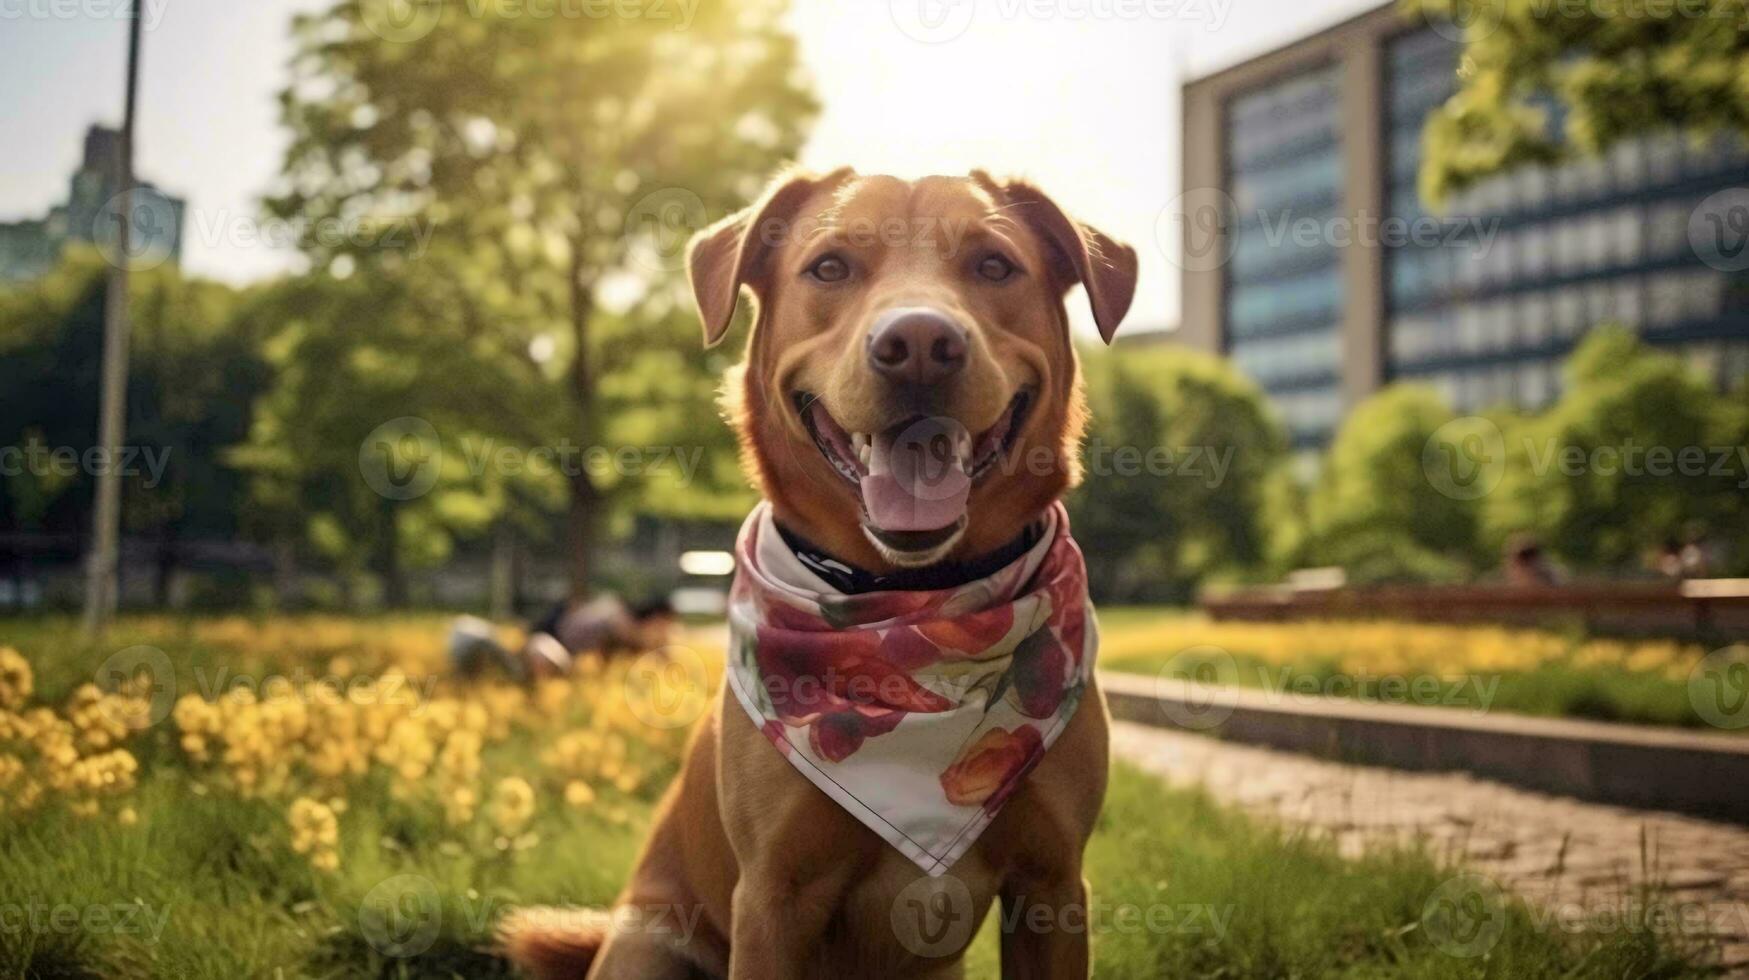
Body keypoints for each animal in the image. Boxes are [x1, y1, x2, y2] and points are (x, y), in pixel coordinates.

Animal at [500, 172, 1140, 980]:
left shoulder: (1052, 887)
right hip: (648, 945)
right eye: (830, 267)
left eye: (994, 265)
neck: (907, 600)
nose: (920, 343)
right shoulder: (773, 896)